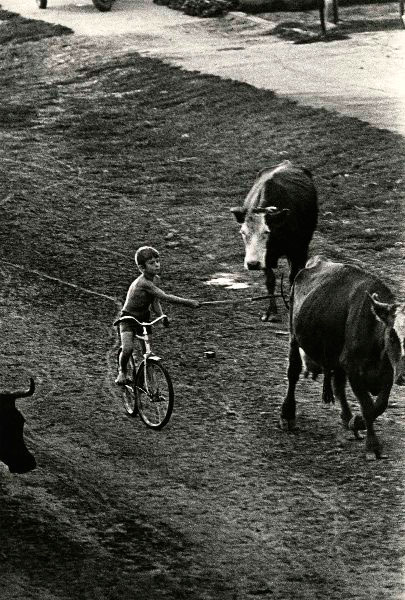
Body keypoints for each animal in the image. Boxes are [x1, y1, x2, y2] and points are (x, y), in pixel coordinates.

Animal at [232, 158, 318, 318]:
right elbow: (270, 280)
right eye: (243, 232)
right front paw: (271, 312)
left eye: (267, 232)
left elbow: (294, 277)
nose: (252, 264)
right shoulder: (264, 257)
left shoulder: (297, 250)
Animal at [280, 256, 404, 460]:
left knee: (337, 386)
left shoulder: (388, 372)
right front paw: (372, 445)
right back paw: (287, 414)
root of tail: (314, 263)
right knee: (293, 373)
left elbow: (379, 405)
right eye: (392, 336)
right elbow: (368, 407)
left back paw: (347, 418)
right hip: (294, 337)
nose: (404, 376)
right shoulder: (353, 368)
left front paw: (357, 421)